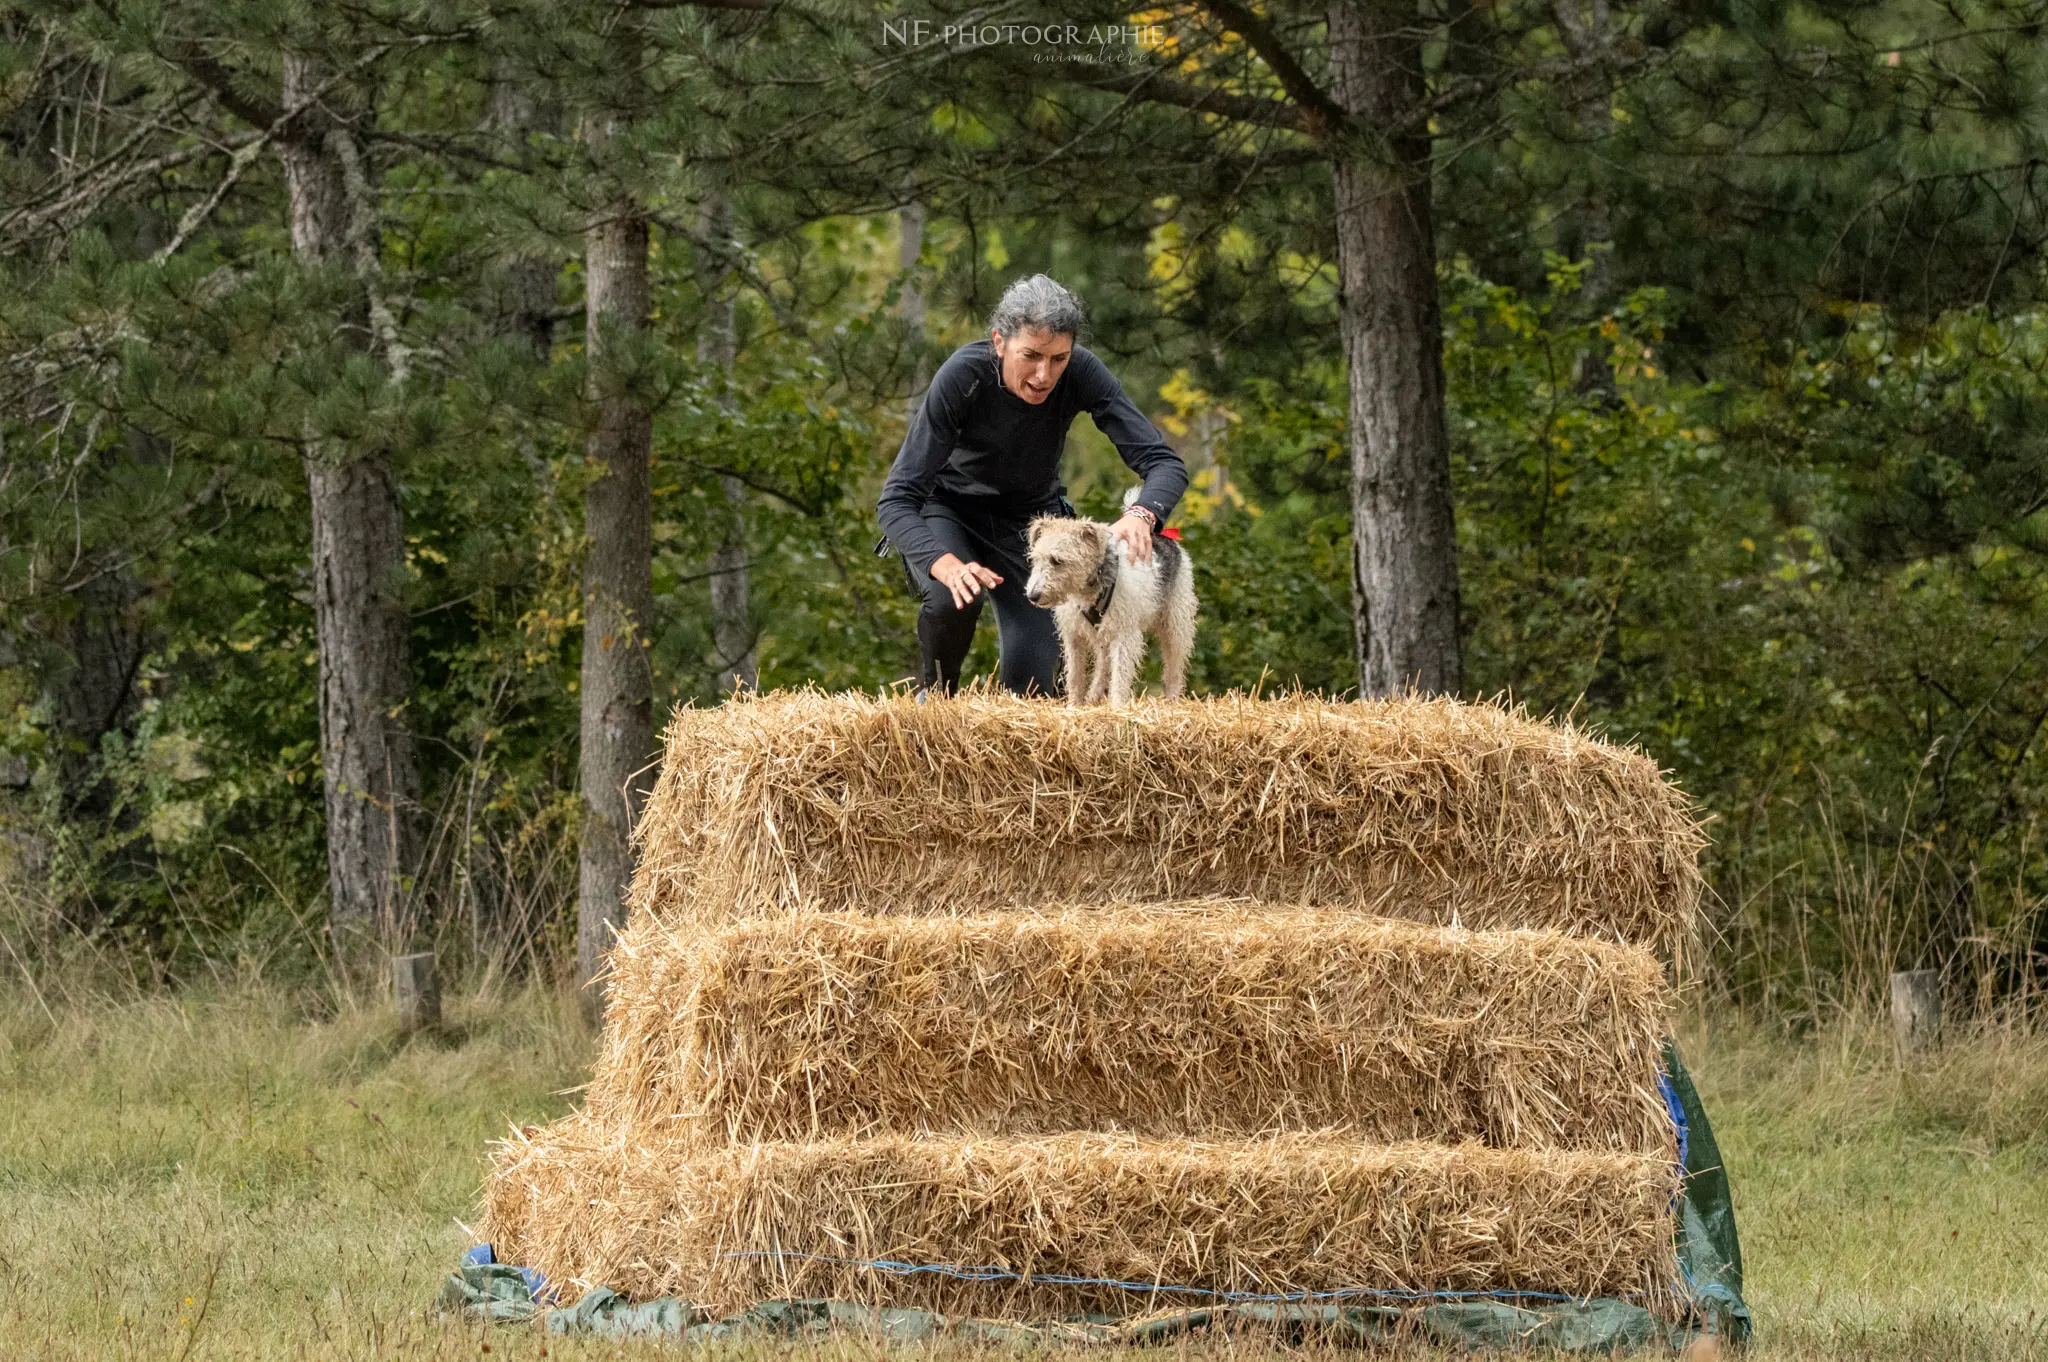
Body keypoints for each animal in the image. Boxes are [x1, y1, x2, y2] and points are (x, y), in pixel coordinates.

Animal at [1024, 503, 1196, 704]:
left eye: (1057, 560)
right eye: (1034, 559)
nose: (1032, 596)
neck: (1089, 590)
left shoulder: (1125, 634)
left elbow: (1120, 675)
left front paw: (1117, 706)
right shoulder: (1074, 635)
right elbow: (1075, 676)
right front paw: (1074, 706)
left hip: (1176, 625)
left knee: (1174, 666)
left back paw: (1172, 698)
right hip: (1104, 634)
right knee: (1103, 666)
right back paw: (1094, 694)